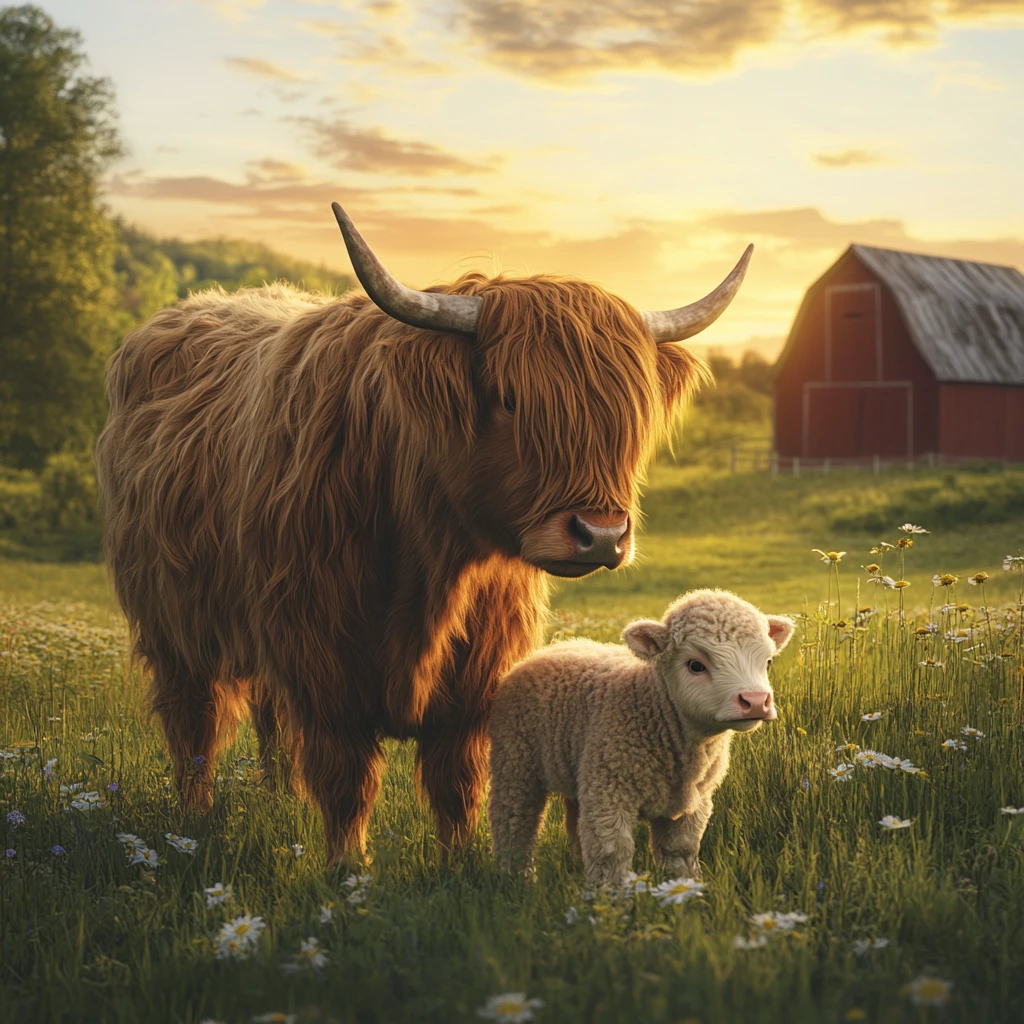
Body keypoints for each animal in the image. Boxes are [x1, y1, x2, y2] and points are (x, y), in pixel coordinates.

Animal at [94, 201, 751, 866]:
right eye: (509, 399)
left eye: (626, 416)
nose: (600, 535)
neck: (430, 560)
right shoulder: (322, 660)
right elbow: (346, 780)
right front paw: (347, 870)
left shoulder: (476, 672)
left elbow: (456, 780)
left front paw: (462, 864)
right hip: (173, 626)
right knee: (195, 723)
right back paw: (194, 819)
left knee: (270, 716)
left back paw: (278, 798)